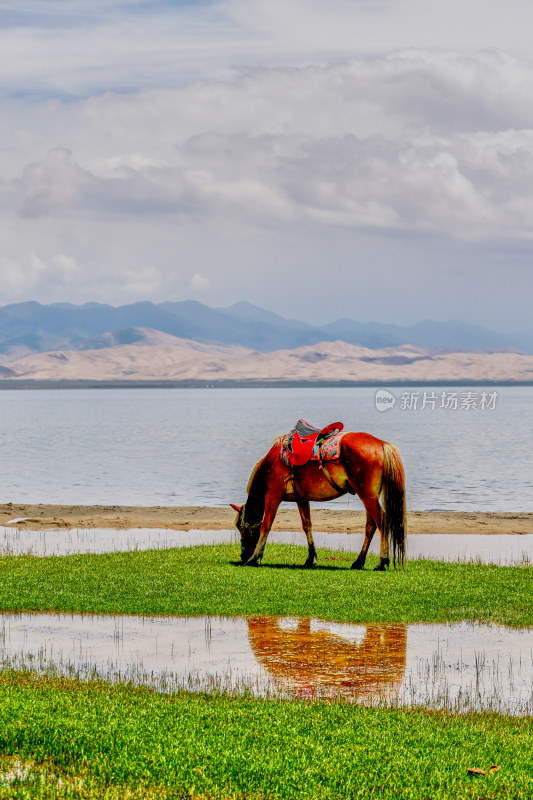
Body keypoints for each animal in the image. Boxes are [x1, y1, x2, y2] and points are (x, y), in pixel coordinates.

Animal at [231, 428, 406, 572]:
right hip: (369, 495)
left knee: (381, 522)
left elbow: (266, 526)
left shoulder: (273, 495)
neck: (272, 463)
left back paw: (382, 562)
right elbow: (307, 526)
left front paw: (254, 558)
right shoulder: (301, 499)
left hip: (366, 494)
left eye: (240, 526)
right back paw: (358, 562)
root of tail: (381, 444)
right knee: (371, 526)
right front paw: (310, 559)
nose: (243, 555)